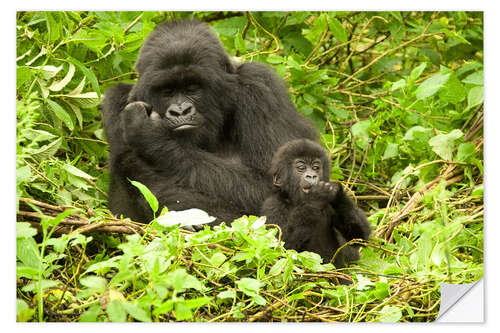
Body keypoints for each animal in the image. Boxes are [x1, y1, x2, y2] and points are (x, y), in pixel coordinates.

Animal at [100, 18, 318, 223]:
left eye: (192, 88)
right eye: (167, 91)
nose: (180, 111)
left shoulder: (260, 85)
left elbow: (271, 186)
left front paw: (152, 136)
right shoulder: (116, 99)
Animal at [262, 139, 372, 268]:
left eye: (315, 167)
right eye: (301, 167)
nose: (312, 175)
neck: (294, 201)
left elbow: (358, 237)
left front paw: (337, 192)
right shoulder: (272, 205)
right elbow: (281, 247)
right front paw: (315, 196)